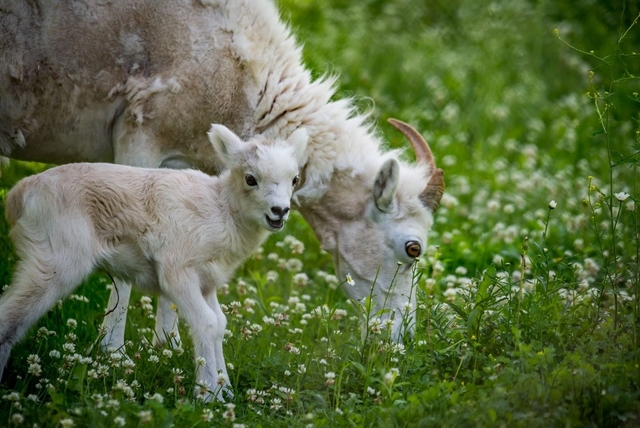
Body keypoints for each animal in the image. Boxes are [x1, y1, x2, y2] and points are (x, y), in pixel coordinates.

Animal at [0, 123, 310, 402]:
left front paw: (226, 392)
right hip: (57, 256)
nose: (279, 211)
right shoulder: (176, 272)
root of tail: (17, 197)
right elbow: (207, 323)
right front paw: (208, 396)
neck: (221, 211)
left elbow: (220, 324)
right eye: (250, 179)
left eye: (295, 179)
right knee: (10, 316)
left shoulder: (208, 282)